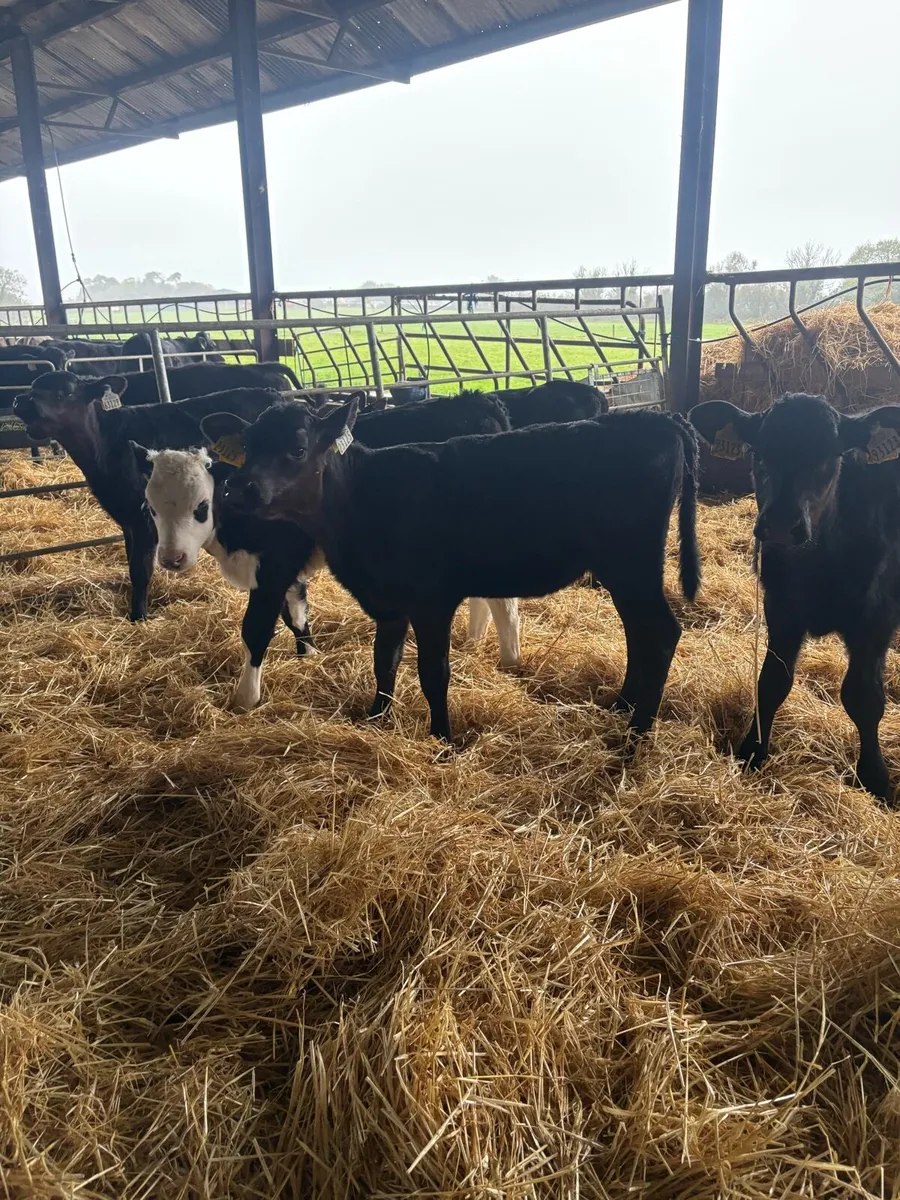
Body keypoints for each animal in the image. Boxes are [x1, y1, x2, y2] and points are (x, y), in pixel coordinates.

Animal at [12, 374, 283, 620]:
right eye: (33, 386)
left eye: (64, 393)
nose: (20, 401)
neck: (105, 447)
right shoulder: (127, 521)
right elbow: (132, 563)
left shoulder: (143, 519)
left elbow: (141, 570)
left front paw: (139, 616)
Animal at [203, 400, 700, 743]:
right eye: (248, 447)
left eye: (298, 448)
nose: (239, 487)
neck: (362, 498)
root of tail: (658, 418)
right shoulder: (390, 603)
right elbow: (384, 662)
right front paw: (376, 719)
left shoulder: (431, 600)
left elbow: (432, 672)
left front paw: (443, 739)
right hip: (622, 571)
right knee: (639, 633)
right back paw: (620, 706)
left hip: (633, 564)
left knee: (661, 632)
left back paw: (636, 734)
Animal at [691, 393, 900, 803]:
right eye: (759, 453)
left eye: (830, 456)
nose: (781, 524)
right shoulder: (781, 609)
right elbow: (771, 682)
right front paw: (752, 752)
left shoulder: (875, 619)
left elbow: (864, 698)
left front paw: (876, 779)